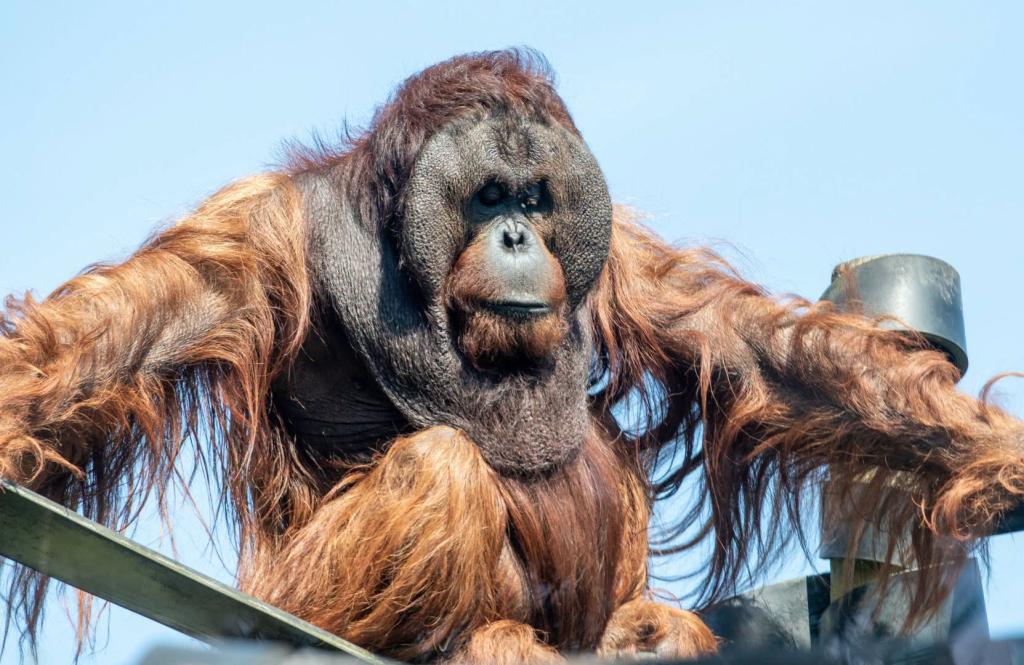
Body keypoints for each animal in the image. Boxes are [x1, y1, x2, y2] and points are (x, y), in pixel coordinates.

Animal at [1, 49, 1022, 663]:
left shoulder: (620, 255)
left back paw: (638, 637)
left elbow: (756, 352)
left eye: (534, 194)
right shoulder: (255, 232)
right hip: (299, 597)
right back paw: (470, 643)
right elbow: (129, 330)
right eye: (488, 194)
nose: (520, 235)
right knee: (442, 469)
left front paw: (1004, 467)